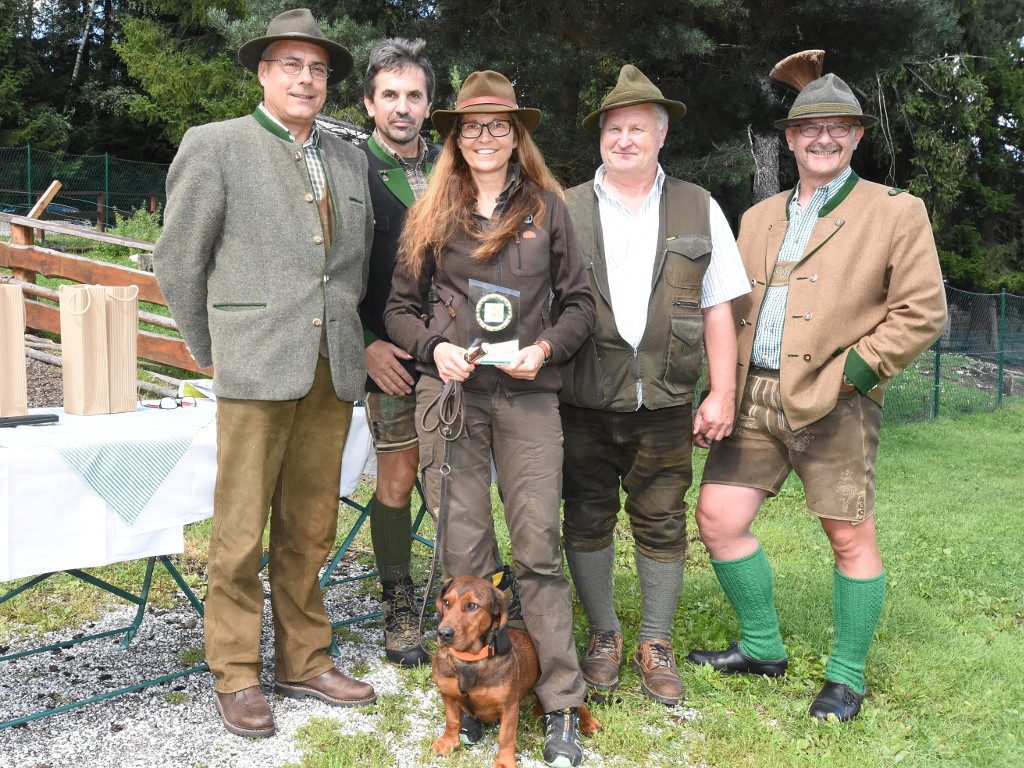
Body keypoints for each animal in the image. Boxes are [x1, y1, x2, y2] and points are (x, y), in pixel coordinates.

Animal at [432, 577, 598, 768]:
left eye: (472, 606)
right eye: (446, 602)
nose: (443, 633)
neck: (469, 661)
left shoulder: (509, 707)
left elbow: (506, 736)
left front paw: (504, 762)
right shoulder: (448, 694)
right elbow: (452, 720)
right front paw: (449, 742)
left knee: (578, 703)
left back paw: (590, 723)